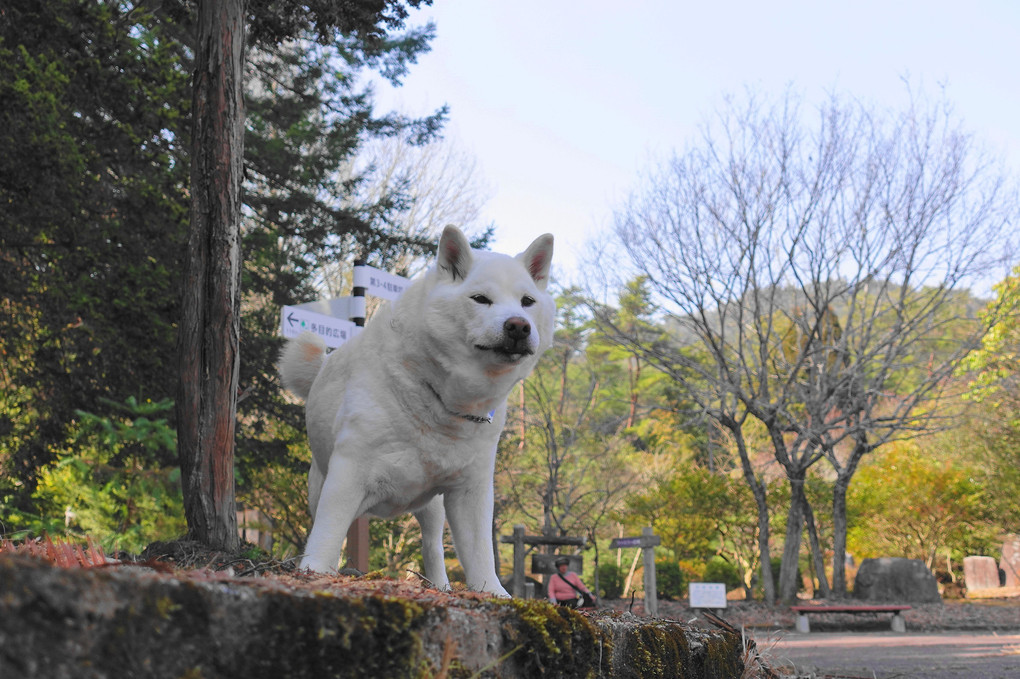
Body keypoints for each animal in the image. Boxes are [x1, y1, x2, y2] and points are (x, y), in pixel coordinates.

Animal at [279, 223, 554, 591]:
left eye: (527, 302)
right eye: (480, 299)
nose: (518, 325)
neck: (440, 400)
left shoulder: (471, 490)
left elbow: (481, 554)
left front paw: (494, 593)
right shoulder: (348, 470)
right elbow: (327, 531)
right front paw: (315, 571)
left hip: (432, 508)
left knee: (432, 546)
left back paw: (441, 587)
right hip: (319, 486)